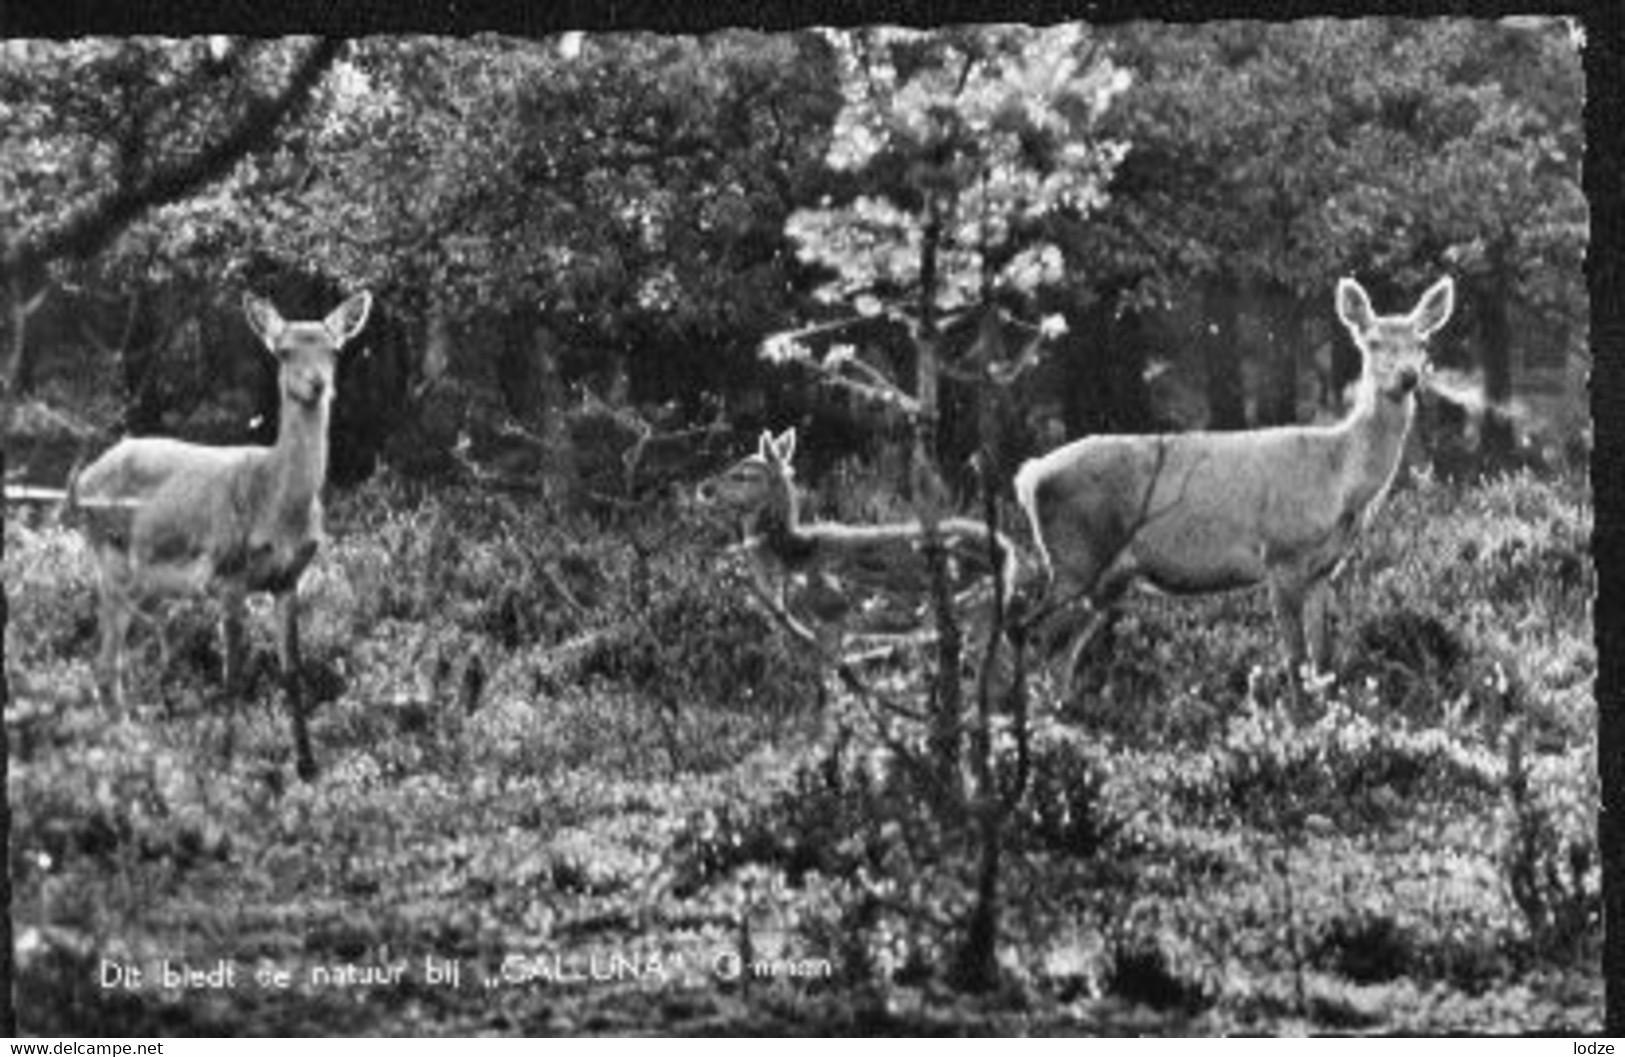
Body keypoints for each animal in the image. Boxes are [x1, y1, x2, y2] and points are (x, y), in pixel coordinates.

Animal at [71, 287, 372, 774]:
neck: (278, 507)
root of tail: (83, 480)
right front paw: (227, 759)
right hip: (110, 561)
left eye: (334, 350)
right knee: (103, 663)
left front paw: (307, 765)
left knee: (115, 662)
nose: (317, 385)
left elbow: (292, 670)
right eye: (283, 351)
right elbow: (233, 673)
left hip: (144, 583)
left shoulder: (289, 579)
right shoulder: (229, 574)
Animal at [692, 422, 1020, 653]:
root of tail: (1008, 550)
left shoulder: (831, 615)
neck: (791, 555)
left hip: (975, 606)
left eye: (744, 475)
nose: (705, 487)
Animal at [1014, 273, 1462, 699]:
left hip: (1105, 578)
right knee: (1030, 631)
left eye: (1422, 341)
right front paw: (1299, 723)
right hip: (1075, 555)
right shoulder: (1282, 553)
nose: (1409, 376)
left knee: (1062, 652)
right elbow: (1296, 663)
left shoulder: (1324, 569)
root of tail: (1030, 476)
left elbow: (1323, 664)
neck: (1342, 482)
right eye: (1372, 342)